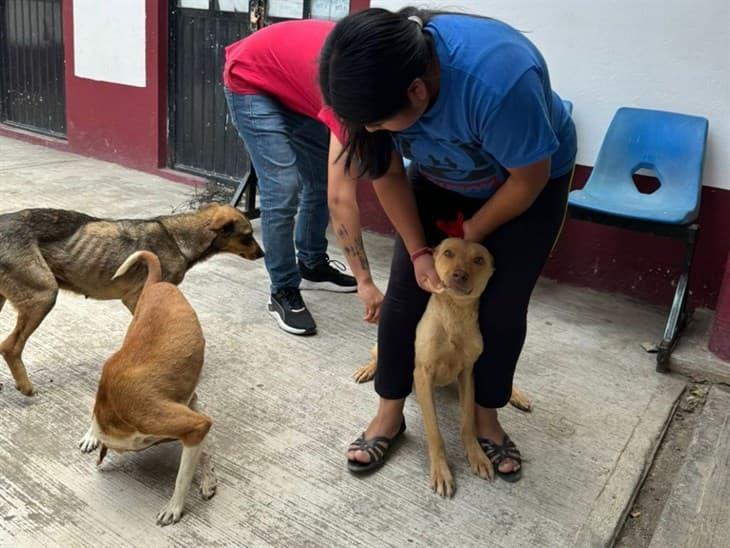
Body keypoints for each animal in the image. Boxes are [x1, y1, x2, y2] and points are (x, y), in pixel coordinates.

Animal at [0, 203, 262, 396]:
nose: (263, 254)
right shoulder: (137, 297)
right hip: (44, 296)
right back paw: (26, 387)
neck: (178, 239)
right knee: (10, 346)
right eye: (248, 236)